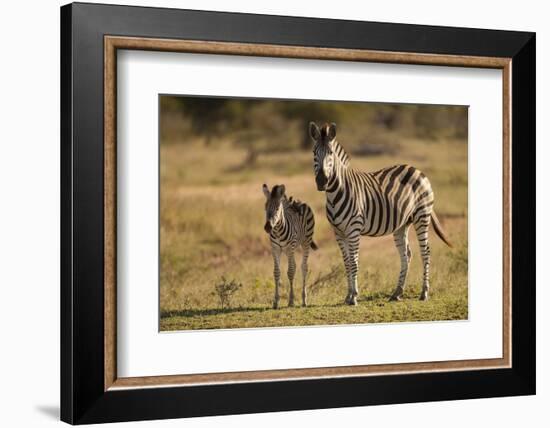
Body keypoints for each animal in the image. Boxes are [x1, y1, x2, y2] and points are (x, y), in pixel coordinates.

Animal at [310, 122, 452, 306]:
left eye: (331, 154)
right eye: (314, 153)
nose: (322, 181)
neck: (335, 194)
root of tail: (416, 169)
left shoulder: (354, 229)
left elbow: (354, 262)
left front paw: (354, 296)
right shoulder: (338, 232)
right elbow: (346, 262)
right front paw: (348, 296)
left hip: (422, 215)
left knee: (425, 252)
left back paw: (424, 293)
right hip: (402, 224)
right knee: (406, 255)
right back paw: (397, 293)